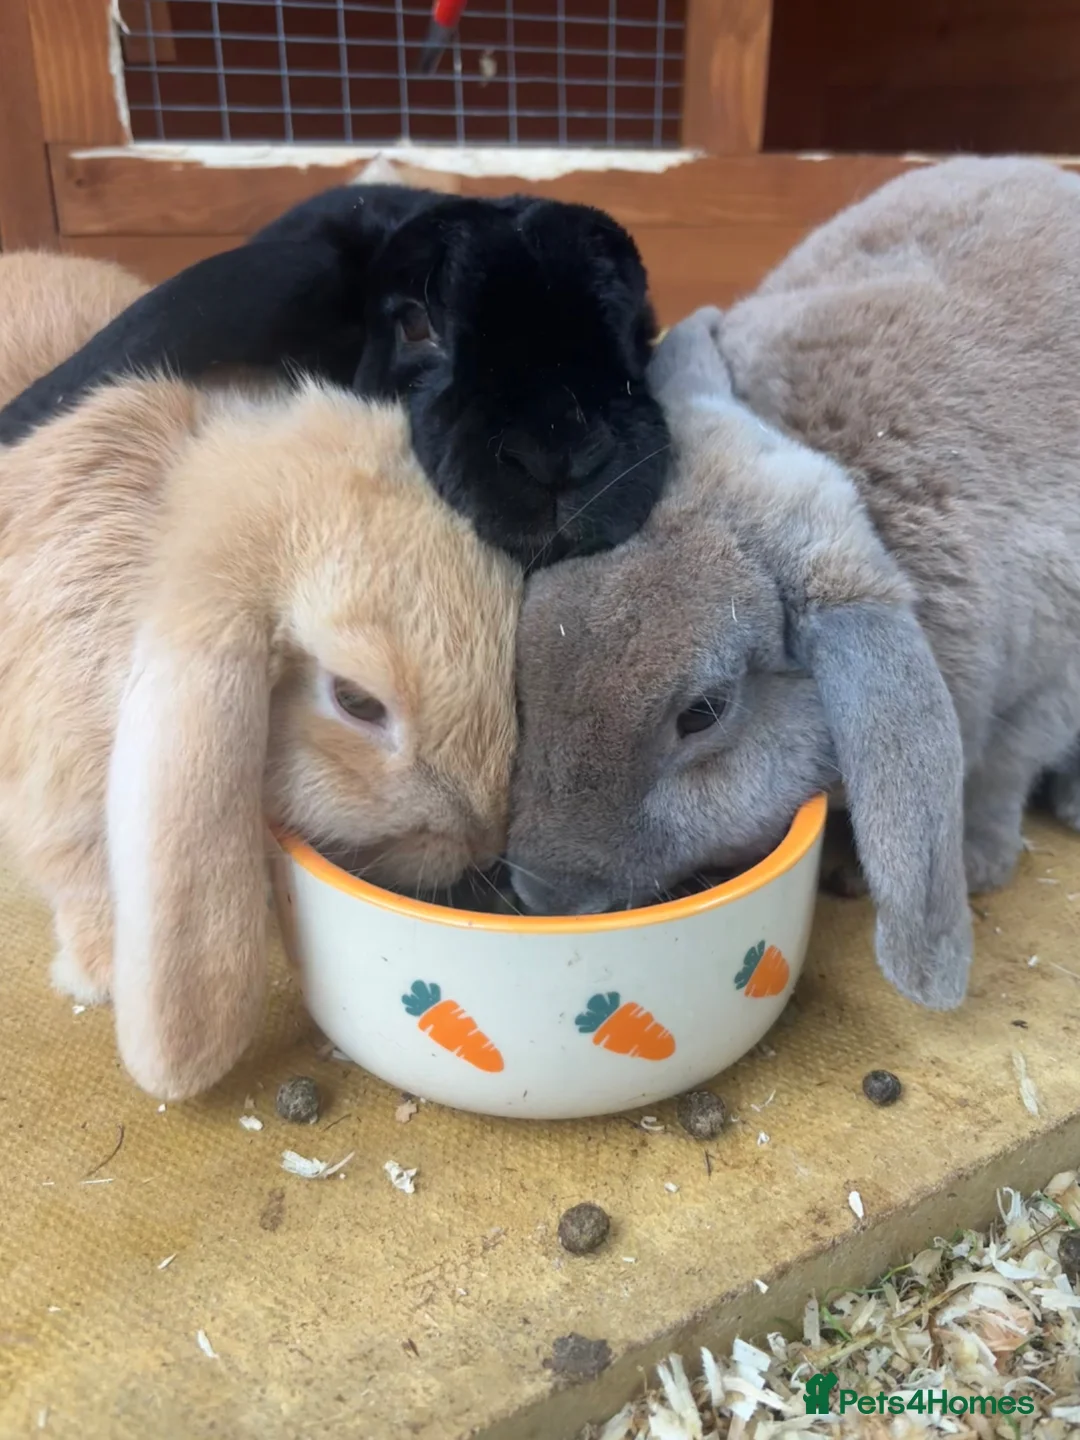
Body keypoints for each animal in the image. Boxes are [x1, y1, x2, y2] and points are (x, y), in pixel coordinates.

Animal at [505, 155, 1080, 1013]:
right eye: (524, 660)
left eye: (703, 713)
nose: (539, 891)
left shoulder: (1048, 688)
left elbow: (1001, 775)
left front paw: (977, 866)